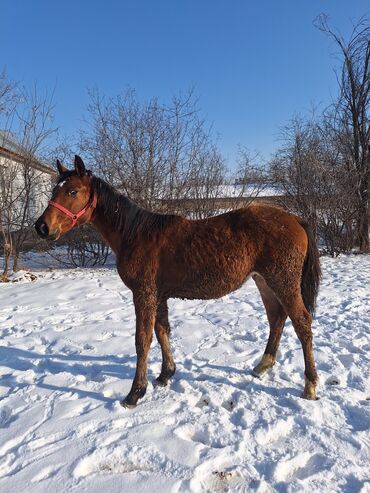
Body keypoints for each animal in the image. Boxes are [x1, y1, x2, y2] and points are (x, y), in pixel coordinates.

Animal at [36, 156, 322, 406]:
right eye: (54, 190)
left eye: (72, 191)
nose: (41, 227)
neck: (136, 235)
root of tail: (295, 219)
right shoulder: (158, 295)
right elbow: (162, 331)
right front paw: (166, 374)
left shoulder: (144, 294)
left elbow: (142, 340)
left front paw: (135, 392)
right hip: (264, 281)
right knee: (277, 318)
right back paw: (263, 365)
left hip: (283, 281)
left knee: (302, 323)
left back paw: (310, 385)